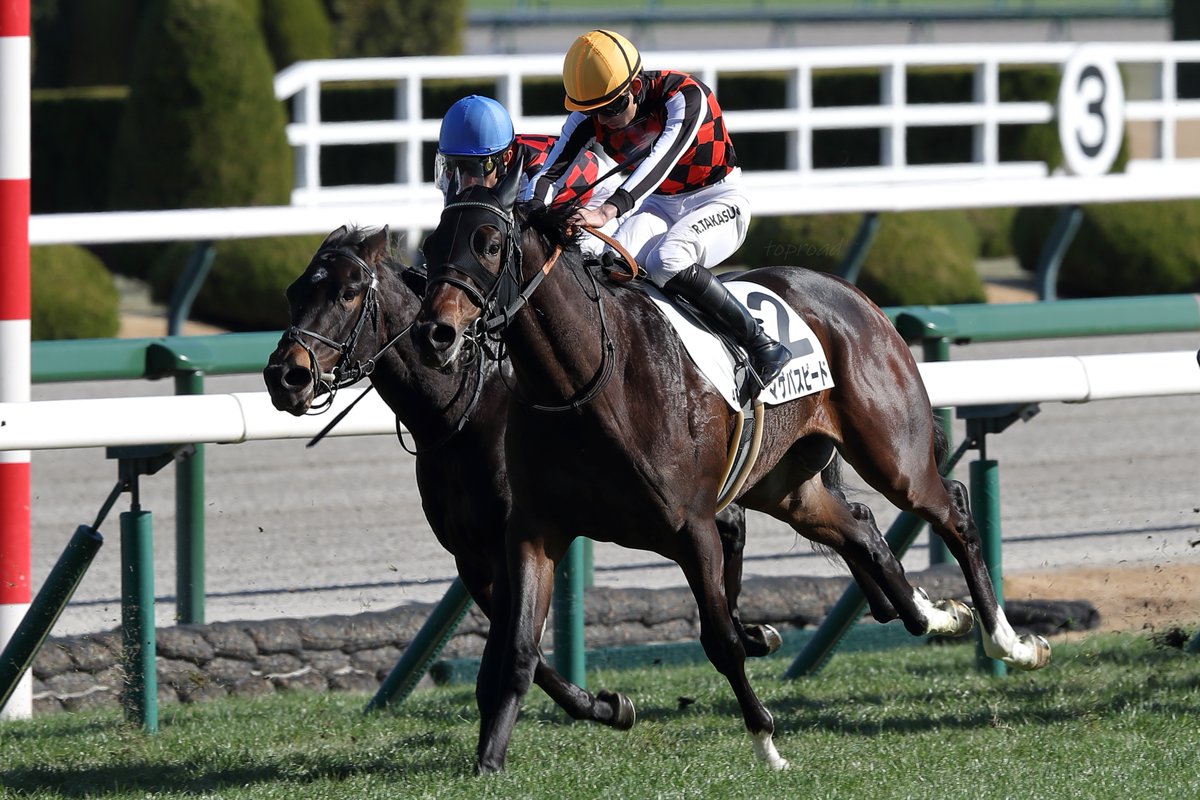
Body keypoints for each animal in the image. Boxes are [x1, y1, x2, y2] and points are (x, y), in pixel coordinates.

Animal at [261, 224, 776, 734]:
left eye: (348, 293)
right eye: (293, 292)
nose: (284, 376)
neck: (463, 412)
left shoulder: (507, 540)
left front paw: (601, 706)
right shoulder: (472, 556)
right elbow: (521, 652)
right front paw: (604, 705)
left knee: (726, 529)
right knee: (729, 527)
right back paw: (750, 631)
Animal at [412, 164, 1050, 774]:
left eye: (490, 243)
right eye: (434, 243)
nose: (434, 334)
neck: (585, 380)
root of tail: (854, 294)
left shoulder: (691, 528)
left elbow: (721, 641)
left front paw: (767, 743)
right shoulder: (535, 531)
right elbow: (518, 649)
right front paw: (489, 760)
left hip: (895, 457)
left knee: (954, 510)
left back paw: (1010, 643)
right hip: (787, 488)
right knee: (862, 527)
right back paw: (937, 613)